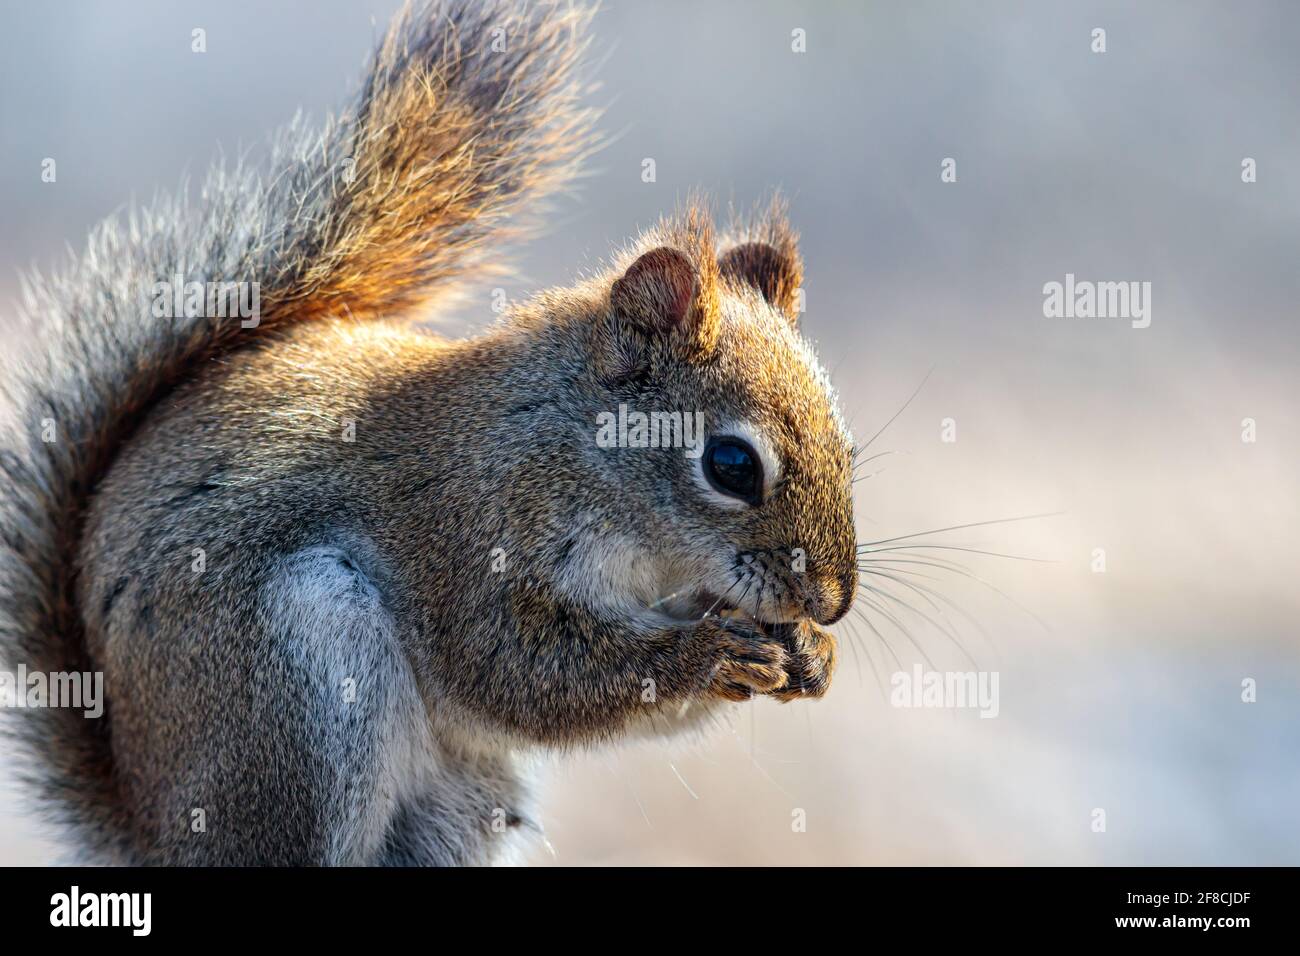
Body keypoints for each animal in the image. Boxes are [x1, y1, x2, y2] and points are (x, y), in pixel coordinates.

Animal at [0, 0, 852, 868]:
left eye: (848, 450)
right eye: (730, 464)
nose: (832, 602)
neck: (574, 452)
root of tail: (150, 825)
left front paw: (810, 653)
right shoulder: (471, 542)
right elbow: (524, 674)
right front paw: (706, 655)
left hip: (458, 801)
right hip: (297, 690)